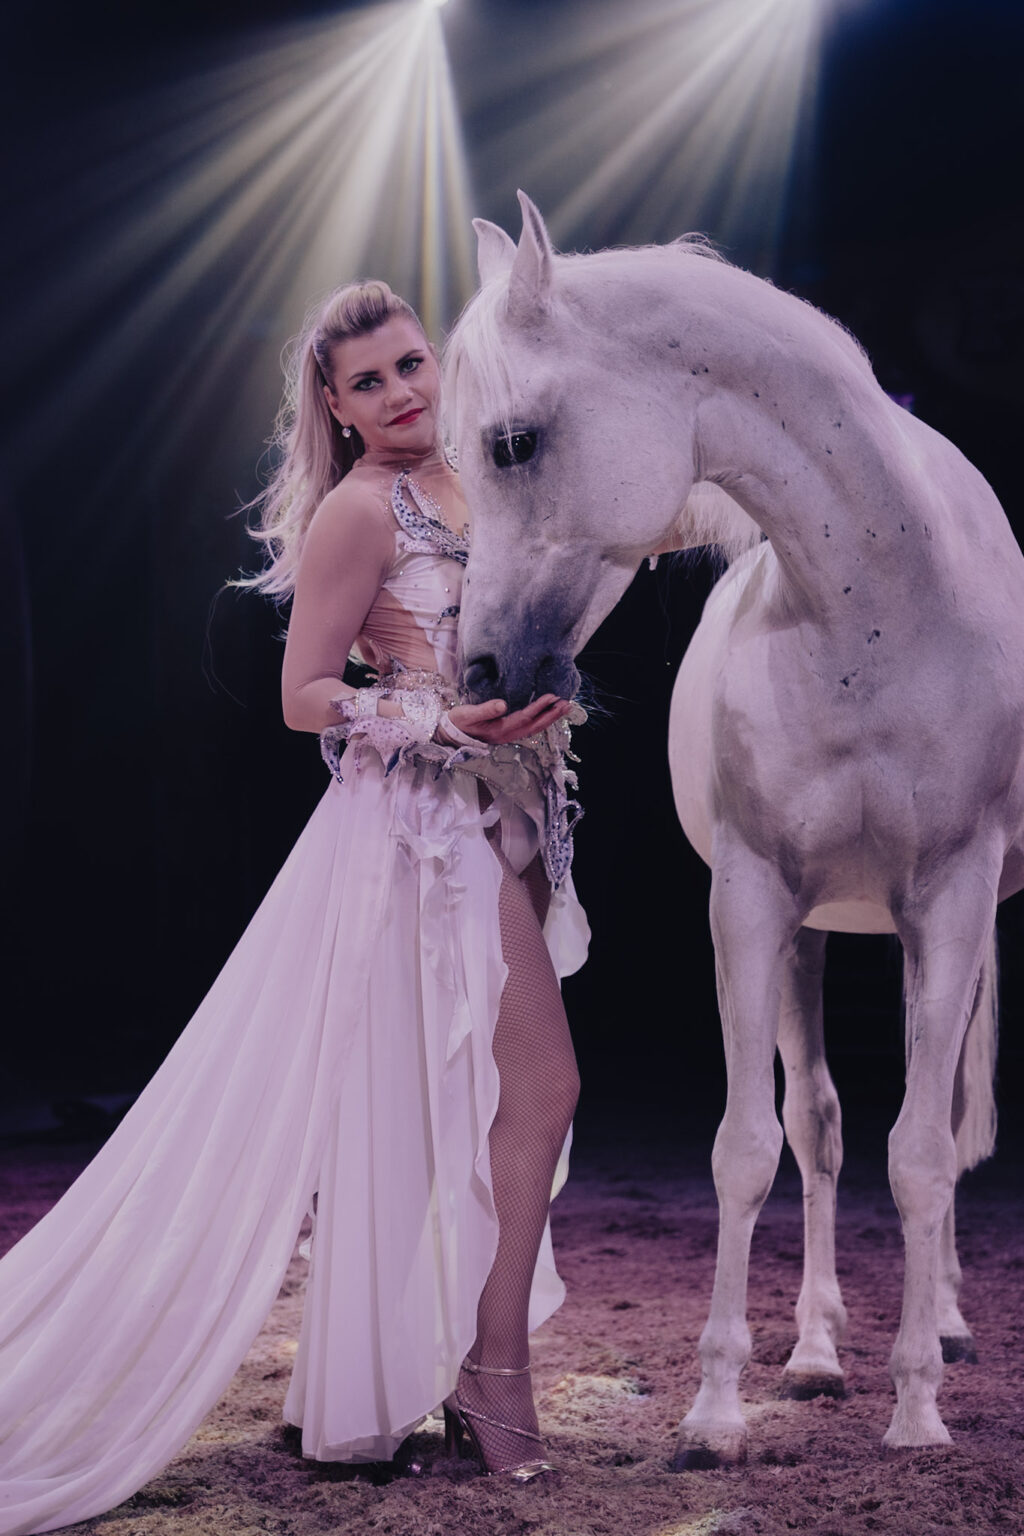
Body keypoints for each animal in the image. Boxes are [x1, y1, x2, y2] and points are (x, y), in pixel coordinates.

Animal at [444, 192, 1024, 1465]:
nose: (479, 673)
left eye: (512, 443)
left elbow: (922, 1154)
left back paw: (946, 1326)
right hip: (812, 929)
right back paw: (812, 1352)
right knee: (819, 1123)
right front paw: (717, 1409)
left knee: (933, 1128)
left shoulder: (950, 897)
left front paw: (917, 1406)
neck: (878, 611)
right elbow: (751, 1146)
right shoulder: (753, 901)